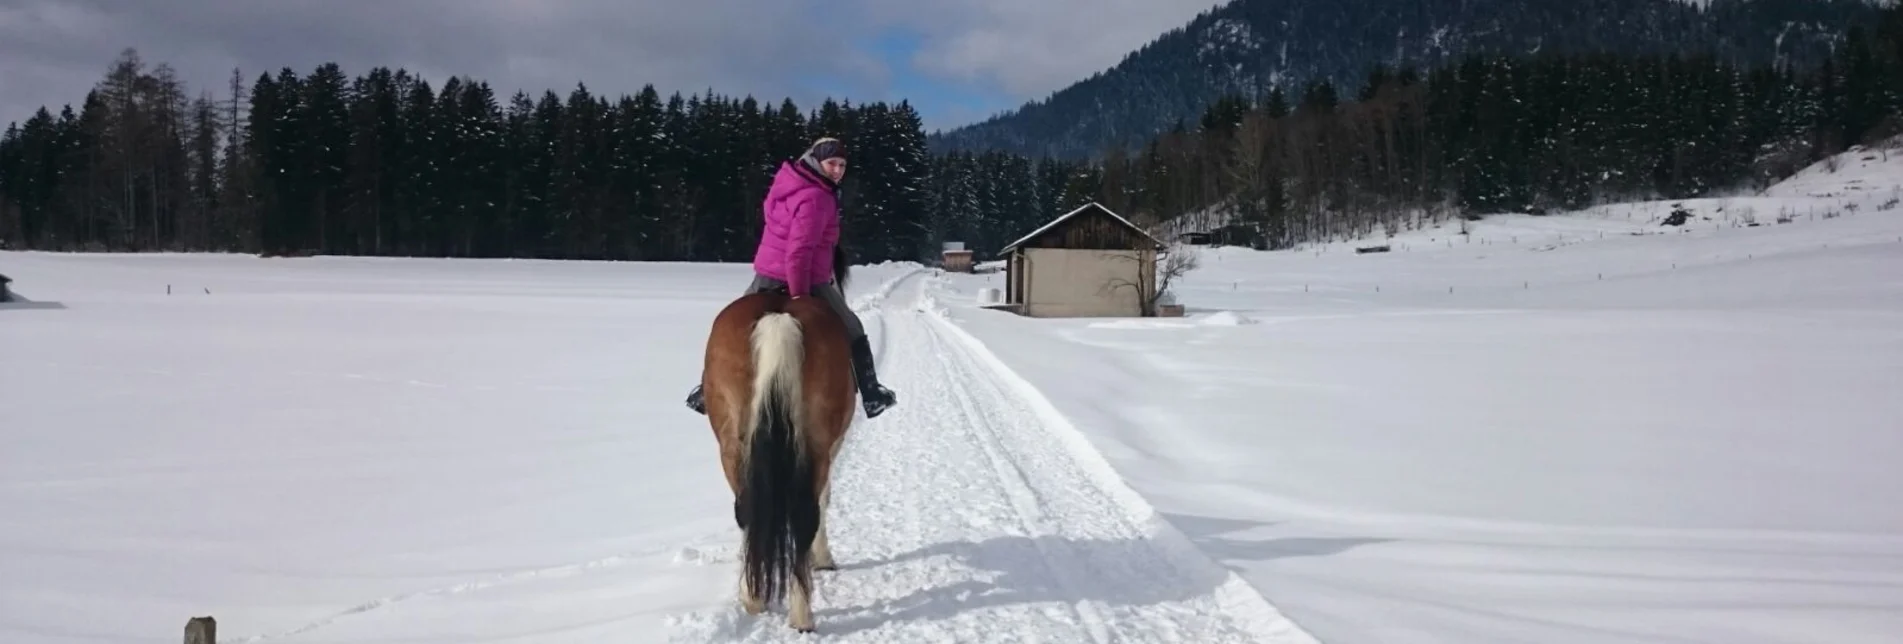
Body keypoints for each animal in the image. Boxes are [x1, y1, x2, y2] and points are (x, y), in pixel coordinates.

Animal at [704, 245, 860, 628]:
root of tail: (780, 320)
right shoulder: (831, 449)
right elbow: (825, 499)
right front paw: (823, 558)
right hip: (817, 444)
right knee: (806, 514)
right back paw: (802, 615)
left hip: (732, 443)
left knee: (746, 508)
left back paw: (753, 598)